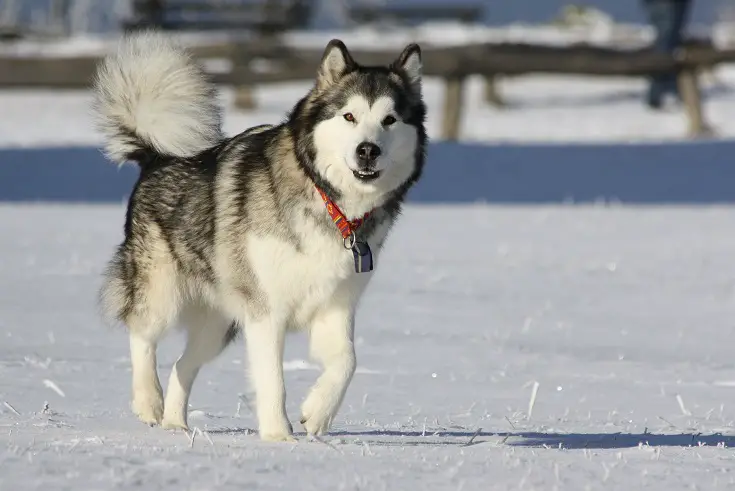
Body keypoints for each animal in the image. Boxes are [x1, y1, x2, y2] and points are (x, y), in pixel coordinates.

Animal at [92, 31, 426, 442]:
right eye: (349, 116)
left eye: (389, 120)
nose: (368, 150)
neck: (328, 201)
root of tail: (157, 157)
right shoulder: (266, 311)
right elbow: (273, 380)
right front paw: (278, 437)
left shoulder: (335, 305)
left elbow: (347, 361)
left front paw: (317, 414)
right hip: (163, 291)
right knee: (141, 333)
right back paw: (148, 402)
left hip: (219, 324)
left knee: (182, 365)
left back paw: (176, 424)